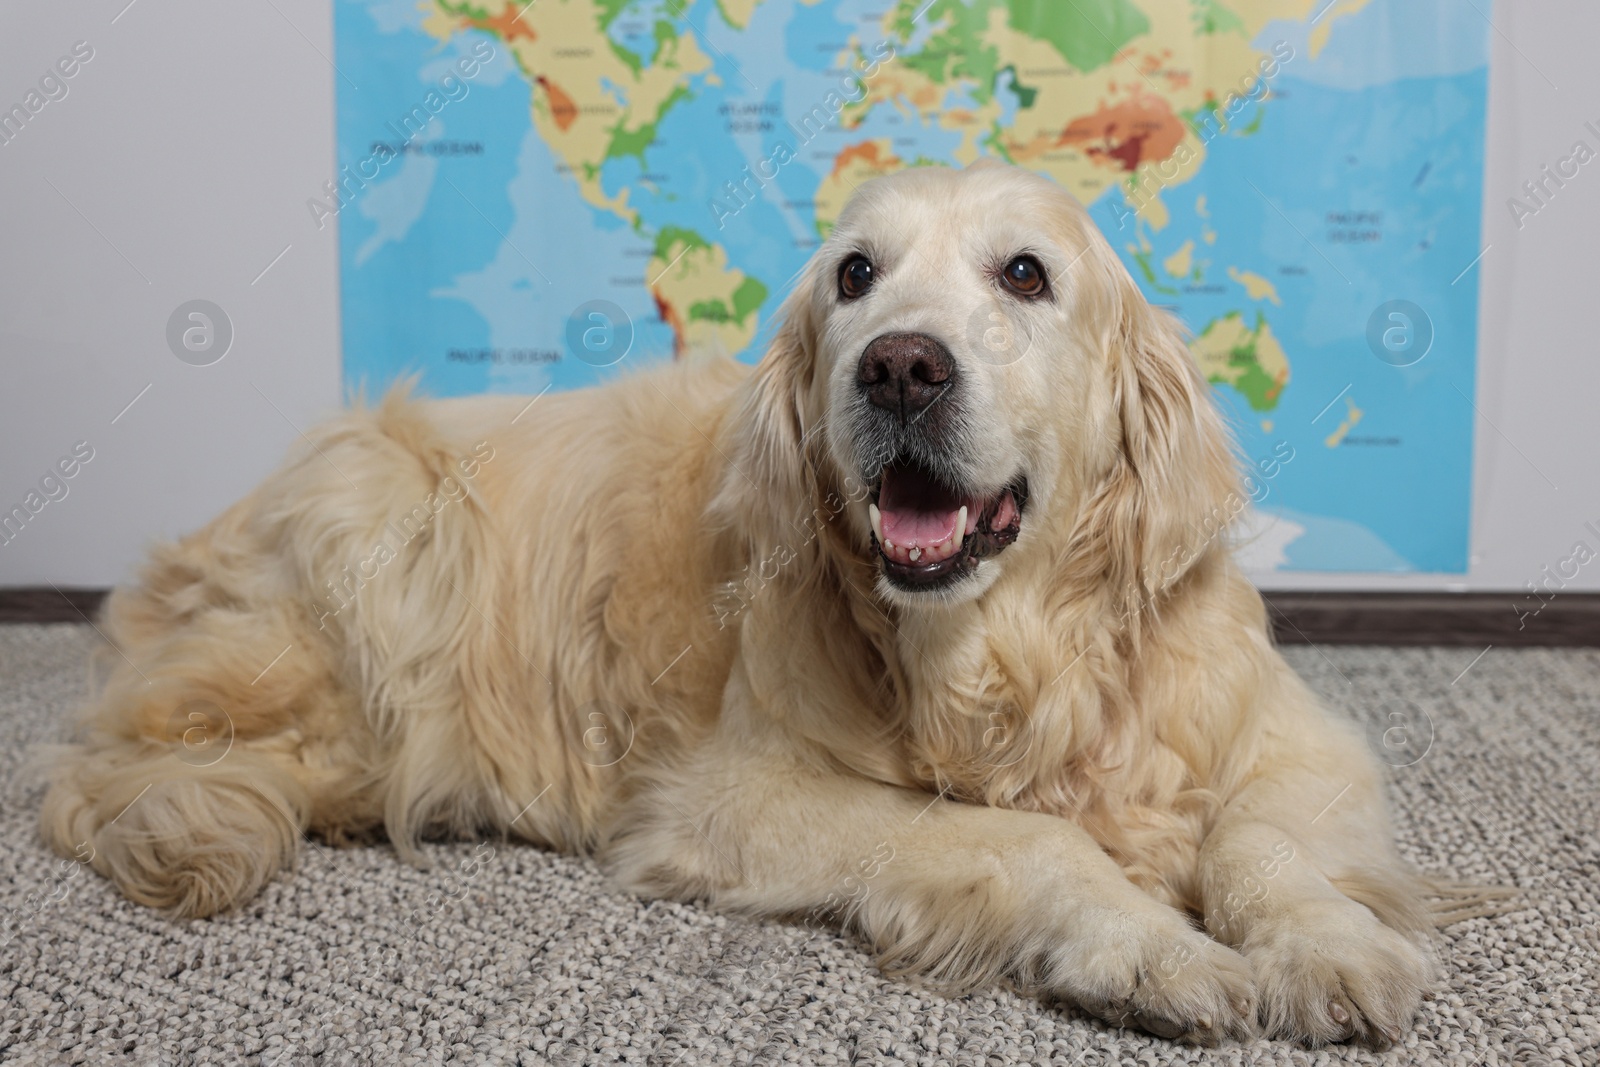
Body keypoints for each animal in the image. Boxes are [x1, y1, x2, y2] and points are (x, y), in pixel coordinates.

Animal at [40, 163, 1440, 1049]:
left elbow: (1265, 839)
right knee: (103, 759)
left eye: (1026, 275)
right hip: (378, 531)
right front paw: (1154, 944)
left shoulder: (1298, 736)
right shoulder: (735, 793)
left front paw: (1324, 946)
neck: (1002, 655)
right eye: (855, 276)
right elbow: (1031, 840)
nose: (900, 365)